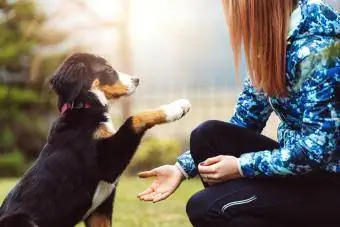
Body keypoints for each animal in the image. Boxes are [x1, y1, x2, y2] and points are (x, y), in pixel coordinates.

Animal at [0, 52, 191, 227]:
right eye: (108, 69)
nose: (136, 80)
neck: (83, 107)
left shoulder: (100, 210)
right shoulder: (108, 163)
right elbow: (134, 118)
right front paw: (176, 108)